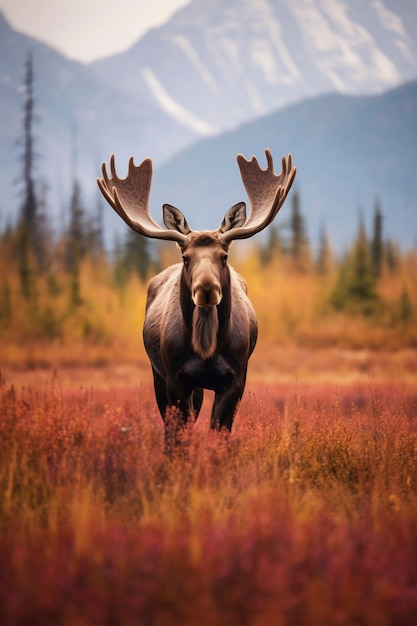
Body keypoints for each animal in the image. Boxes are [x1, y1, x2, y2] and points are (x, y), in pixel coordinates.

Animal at [96, 149, 296, 446]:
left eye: (224, 256)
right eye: (185, 257)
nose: (207, 289)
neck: (206, 347)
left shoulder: (236, 379)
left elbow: (219, 434)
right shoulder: (175, 379)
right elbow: (178, 436)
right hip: (159, 375)